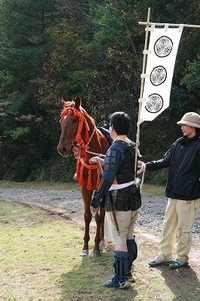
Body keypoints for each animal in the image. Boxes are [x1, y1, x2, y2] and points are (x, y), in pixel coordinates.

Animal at [56, 95, 111, 256]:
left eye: (74, 120)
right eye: (61, 121)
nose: (62, 148)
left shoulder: (101, 187)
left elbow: (98, 216)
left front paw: (96, 248)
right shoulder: (85, 188)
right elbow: (87, 216)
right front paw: (85, 247)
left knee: (103, 213)